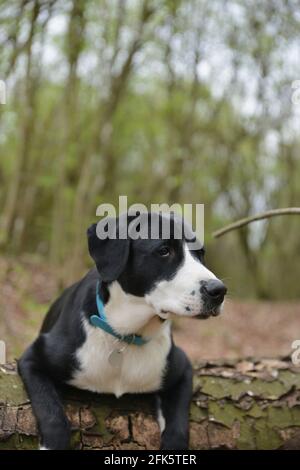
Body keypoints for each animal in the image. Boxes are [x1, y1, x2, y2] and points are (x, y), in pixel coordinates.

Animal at [18, 212, 225, 448]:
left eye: (201, 253)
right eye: (164, 250)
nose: (218, 290)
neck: (127, 334)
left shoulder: (182, 370)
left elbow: (179, 426)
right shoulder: (33, 358)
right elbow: (51, 412)